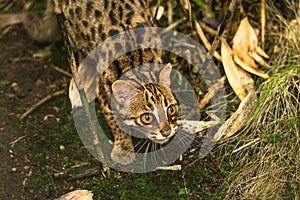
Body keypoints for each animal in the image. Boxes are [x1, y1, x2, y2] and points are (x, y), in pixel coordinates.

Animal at [52, 0, 178, 165]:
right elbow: (115, 120)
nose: (167, 131)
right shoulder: (105, 95)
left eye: (171, 109)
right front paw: (123, 147)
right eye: (147, 118)